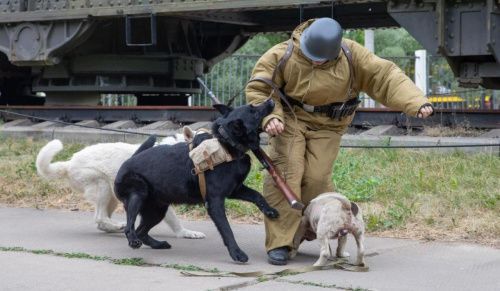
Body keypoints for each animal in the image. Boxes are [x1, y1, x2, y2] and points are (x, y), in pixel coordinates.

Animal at [35, 132, 205, 240]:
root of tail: (69, 163)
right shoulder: (160, 201)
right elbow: (175, 221)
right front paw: (185, 233)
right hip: (103, 187)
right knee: (99, 217)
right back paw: (119, 227)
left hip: (113, 196)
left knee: (101, 221)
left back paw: (117, 227)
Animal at [114, 99, 280, 264]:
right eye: (254, 111)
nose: (271, 100)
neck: (226, 144)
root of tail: (127, 162)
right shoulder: (214, 202)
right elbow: (227, 230)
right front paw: (236, 253)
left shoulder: (236, 190)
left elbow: (257, 195)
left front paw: (269, 210)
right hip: (138, 194)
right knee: (130, 226)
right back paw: (133, 240)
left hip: (157, 211)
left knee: (141, 231)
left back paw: (157, 244)